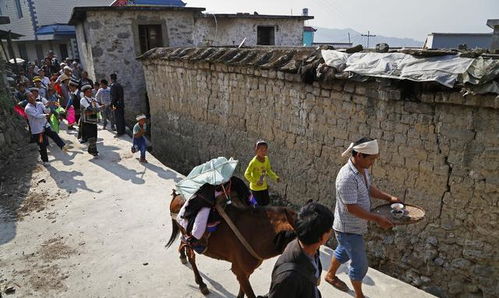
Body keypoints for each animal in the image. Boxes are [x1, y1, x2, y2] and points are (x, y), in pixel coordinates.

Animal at [168, 177, 298, 298]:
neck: (254, 232)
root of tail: (176, 197)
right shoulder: (239, 270)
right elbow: (249, 292)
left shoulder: (246, 271)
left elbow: (242, 291)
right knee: (191, 256)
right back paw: (201, 283)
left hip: (185, 233)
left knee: (183, 244)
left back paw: (182, 255)